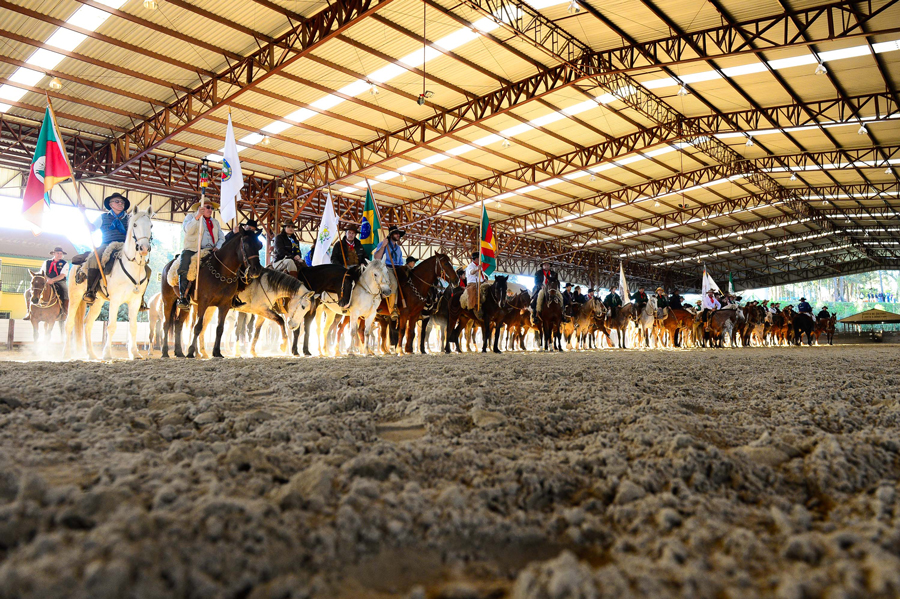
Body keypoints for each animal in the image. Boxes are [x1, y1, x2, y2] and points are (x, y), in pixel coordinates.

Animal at [64, 206, 154, 360]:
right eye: (135, 225)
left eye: (151, 225)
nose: (144, 248)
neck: (132, 267)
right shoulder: (115, 300)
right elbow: (111, 326)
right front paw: (107, 354)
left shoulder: (135, 301)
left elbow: (133, 327)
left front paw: (135, 353)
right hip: (75, 297)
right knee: (69, 322)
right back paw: (66, 354)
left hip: (98, 302)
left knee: (87, 324)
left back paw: (91, 354)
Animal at [161, 230, 262, 358]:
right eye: (247, 245)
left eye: (259, 246)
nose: (256, 270)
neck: (221, 272)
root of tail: (167, 266)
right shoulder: (203, 303)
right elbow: (198, 327)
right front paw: (191, 351)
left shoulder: (224, 305)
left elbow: (220, 328)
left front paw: (217, 352)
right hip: (167, 301)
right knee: (166, 324)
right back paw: (165, 352)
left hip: (186, 306)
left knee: (178, 324)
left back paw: (179, 352)